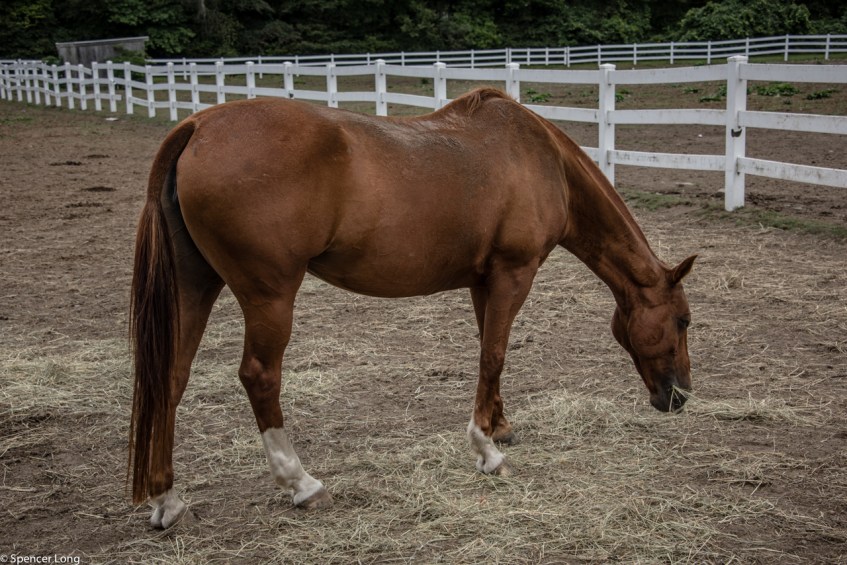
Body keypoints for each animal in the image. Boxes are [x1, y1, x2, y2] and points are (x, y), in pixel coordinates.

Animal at [129, 88, 696, 529]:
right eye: (684, 320)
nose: (680, 397)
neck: (540, 159)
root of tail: (198, 126)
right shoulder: (513, 274)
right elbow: (493, 355)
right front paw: (487, 451)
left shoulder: (484, 283)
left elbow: (491, 351)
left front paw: (499, 424)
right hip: (269, 296)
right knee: (259, 376)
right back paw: (302, 483)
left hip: (195, 286)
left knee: (171, 378)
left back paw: (167, 500)